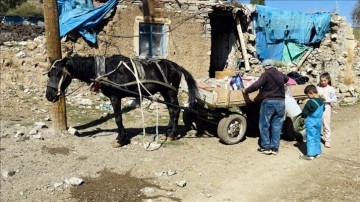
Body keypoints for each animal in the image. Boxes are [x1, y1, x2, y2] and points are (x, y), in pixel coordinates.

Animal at [45, 55, 200, 146]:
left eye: (59, 73)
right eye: (49, 74)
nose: (49, 96)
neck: (105, 71)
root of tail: (177, 66)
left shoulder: (115, 97)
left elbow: (118, 118)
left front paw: (120, 139)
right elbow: (118, 118)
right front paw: (122, 137)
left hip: (170, 91)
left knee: (176, 110)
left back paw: (172, 135)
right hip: (164, 92)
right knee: (171, 111)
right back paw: (167, 133)